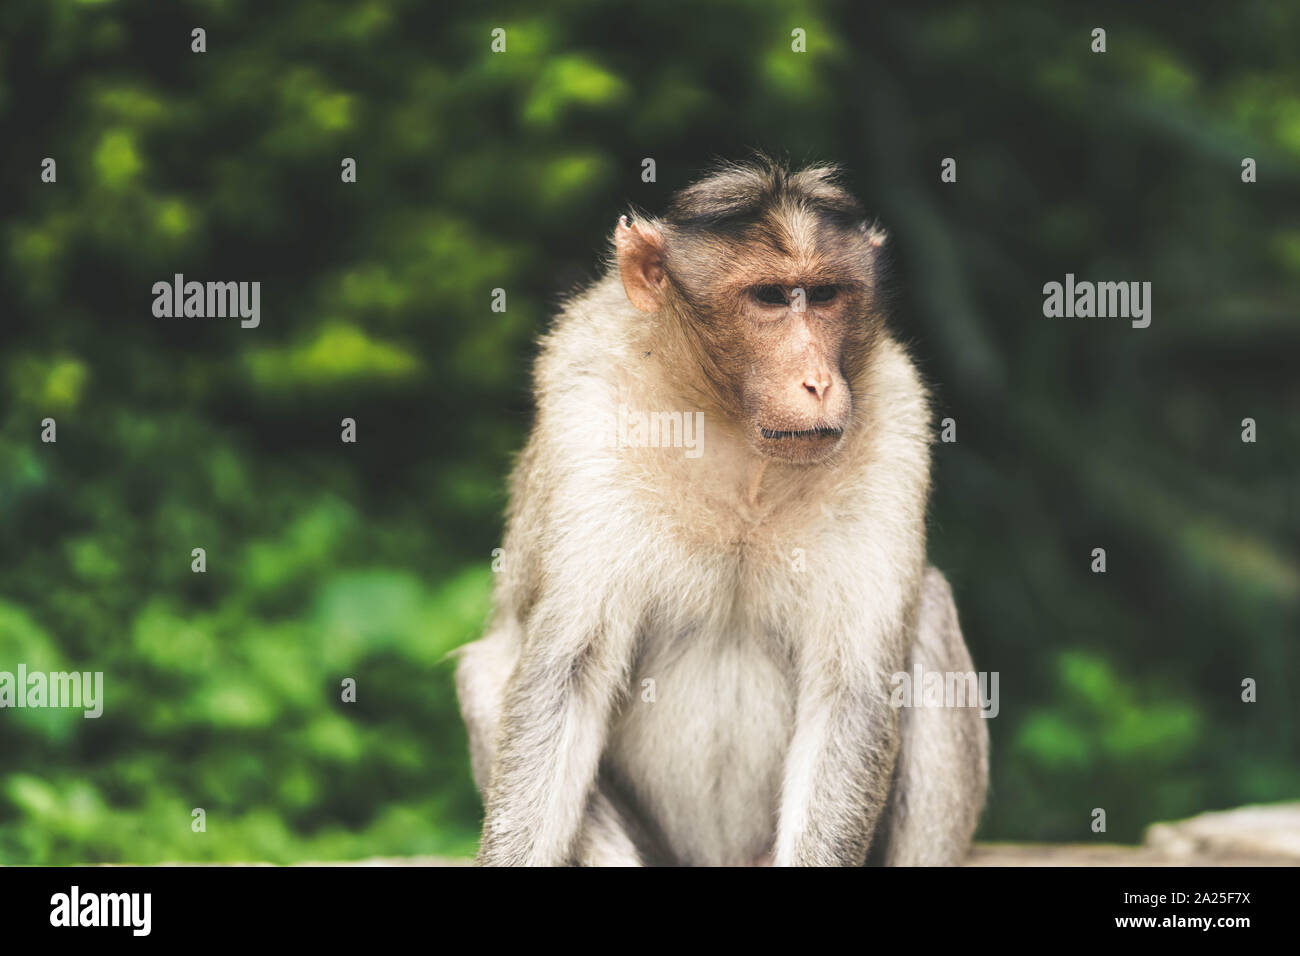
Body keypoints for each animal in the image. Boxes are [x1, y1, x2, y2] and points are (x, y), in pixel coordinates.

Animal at [455, 156, 989, 866]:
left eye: (824, 296)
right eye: (770, 298)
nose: (818, 381)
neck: (736, 436)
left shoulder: (896, 414)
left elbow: (853, 692)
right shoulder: (588, 407)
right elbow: (563, 677)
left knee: (927, 607)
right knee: (486, 674)